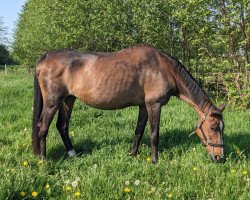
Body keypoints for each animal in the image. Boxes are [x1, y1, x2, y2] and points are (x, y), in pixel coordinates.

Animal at [31, 43, 227, 162]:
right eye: (213, 127)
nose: (220, 157)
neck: (164, 68)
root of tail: (47, 57)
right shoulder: (154, 105)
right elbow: (154, 134)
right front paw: (154, 160)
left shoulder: (144, 106)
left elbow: (139, 131)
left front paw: (133, 154)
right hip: (52, 102)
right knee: (42, 127)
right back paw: (43, 160)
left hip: (68, 100)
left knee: (62, 126)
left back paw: (72, 154)